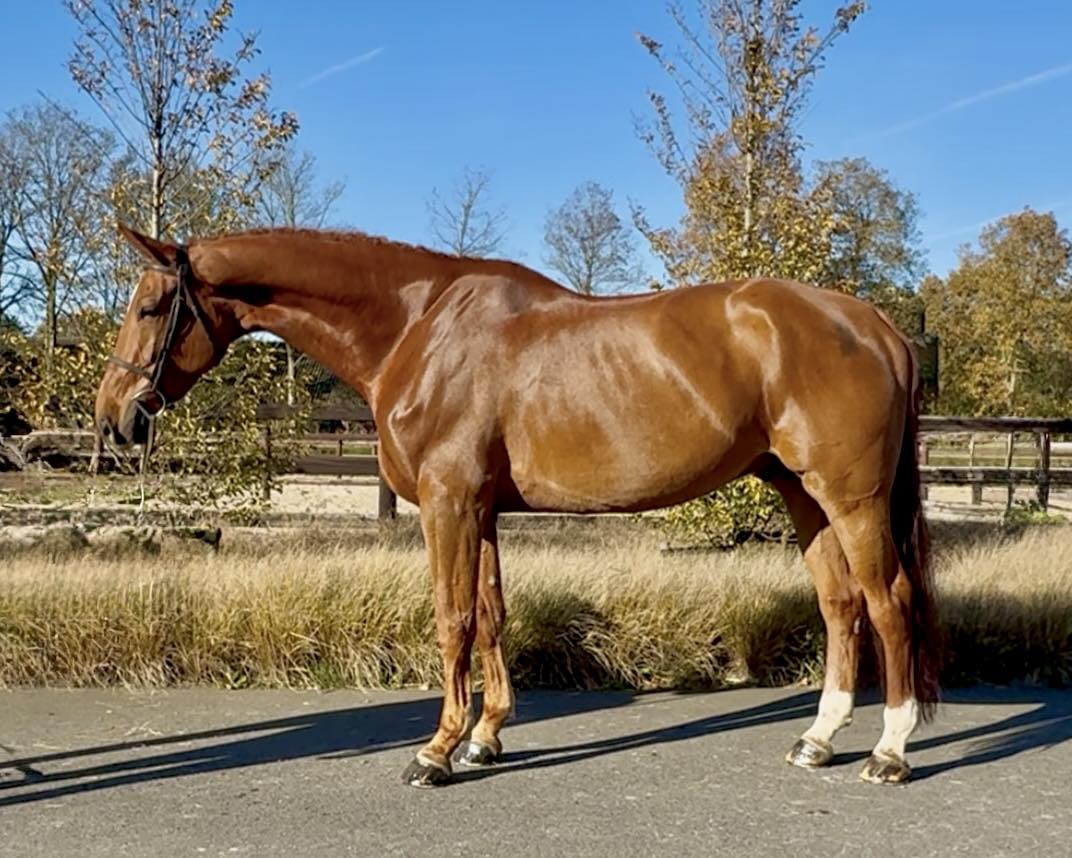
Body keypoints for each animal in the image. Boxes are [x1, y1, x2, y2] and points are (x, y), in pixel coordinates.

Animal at [95, 224, 940, 787]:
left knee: (888, 601)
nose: (113, 417)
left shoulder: (448, 505)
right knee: (840, 604)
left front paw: (436, 751)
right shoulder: (482, 509)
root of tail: (876, 326)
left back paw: (888, 751)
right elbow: (493, 614)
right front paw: (486, 739)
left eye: (150, 307)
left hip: (851, 498)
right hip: (803, 494)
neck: (416, 328)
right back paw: (818, 739)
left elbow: (452, 619)